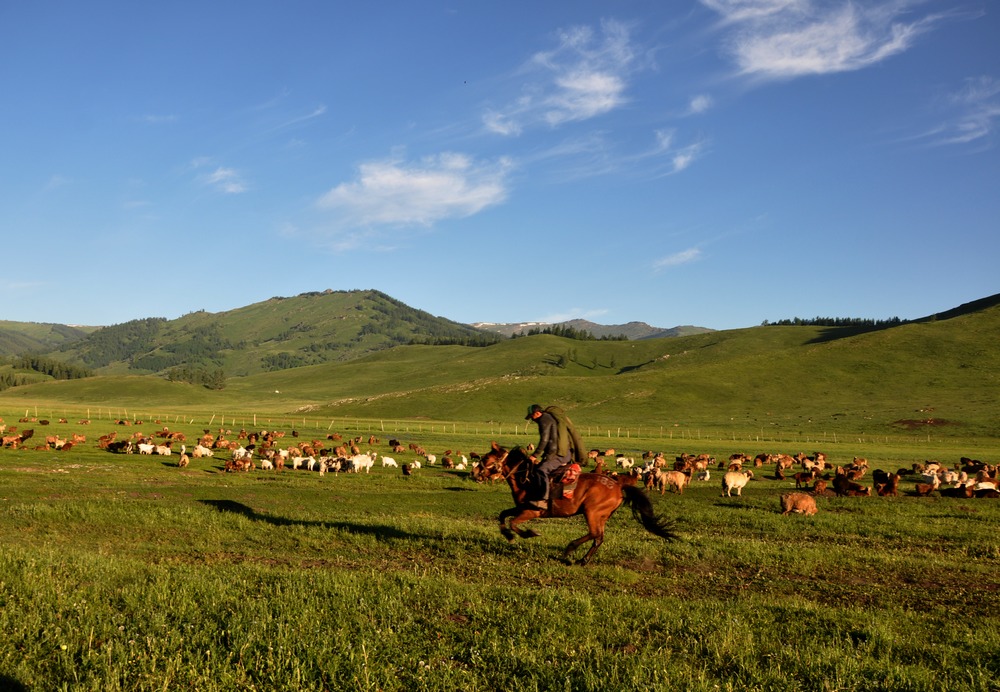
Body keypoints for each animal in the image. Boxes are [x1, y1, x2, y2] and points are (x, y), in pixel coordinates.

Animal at [482, 444, 676, 564]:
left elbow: (513, 523)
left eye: (486, 460)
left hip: (591, 512)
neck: (526, 478)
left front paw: (529, 533)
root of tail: (618, 486)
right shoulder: (521, 508)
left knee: (594, 534)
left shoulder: (531, 511)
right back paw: (583, 560)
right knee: (599, 538)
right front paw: (508, 535)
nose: (477, 473)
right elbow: (503, 515)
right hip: (601, 516)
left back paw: (570, 549)